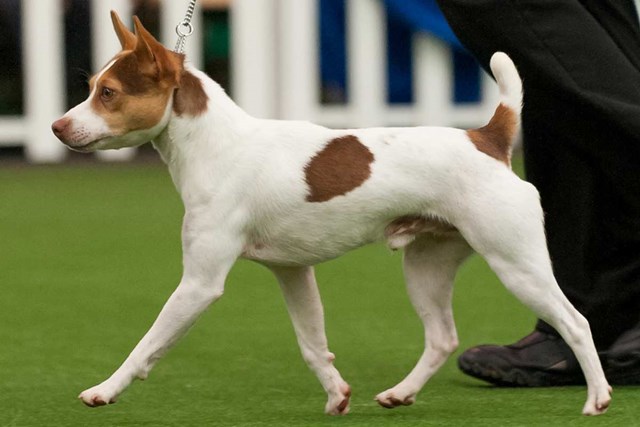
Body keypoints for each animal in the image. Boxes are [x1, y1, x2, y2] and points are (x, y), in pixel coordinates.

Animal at [52, 12, 612, 418]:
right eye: (91, 87)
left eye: (108, 94)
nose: (57, 127)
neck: (218, 145)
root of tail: (488, 139)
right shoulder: (293, 272)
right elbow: (311, 343)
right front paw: (336, 393)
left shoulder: (199, 284)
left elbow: (147, 343)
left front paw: (105, 389)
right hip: (426, 267)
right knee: (442, 337)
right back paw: (400, 393)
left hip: (516, 263)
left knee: (576, 322)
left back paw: (597, 398)